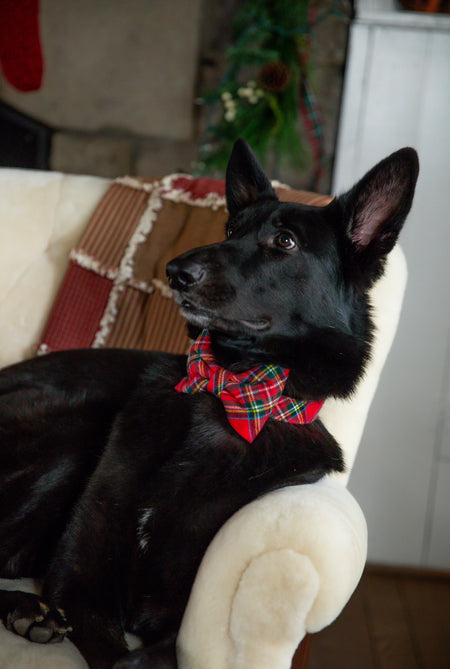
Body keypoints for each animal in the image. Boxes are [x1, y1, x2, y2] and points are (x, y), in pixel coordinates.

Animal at [0, 138, 418, 664]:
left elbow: (143, 658)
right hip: (74, 430)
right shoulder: (78, 587)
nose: (175, 272)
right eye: (231, 230)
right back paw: (26, 610)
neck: (228, 393)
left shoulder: (178, 629)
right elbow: (118, 652)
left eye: (285, 242)